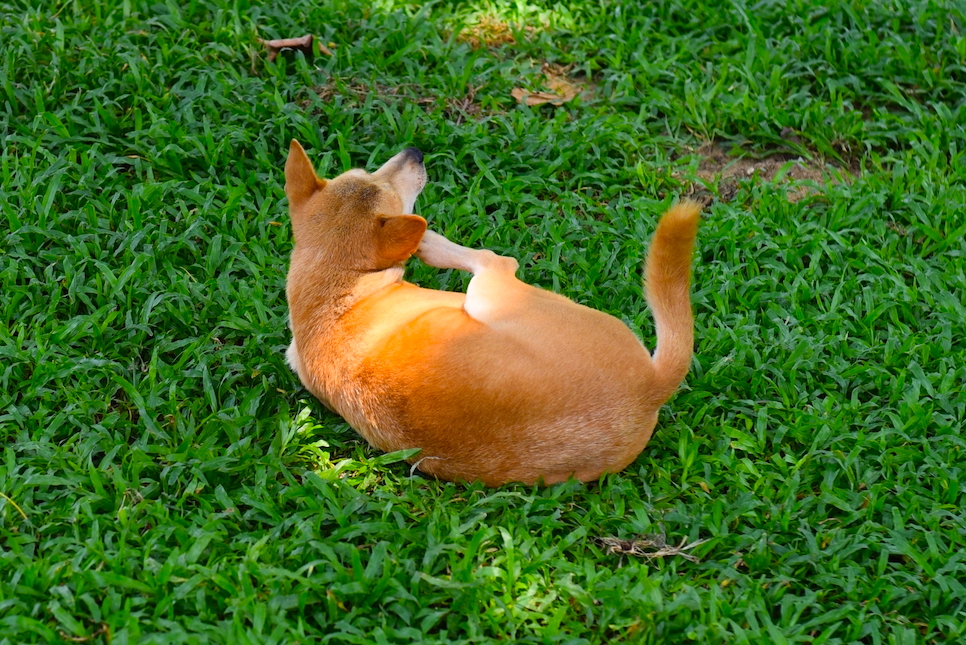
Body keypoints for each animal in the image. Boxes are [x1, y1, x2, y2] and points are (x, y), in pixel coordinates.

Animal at [284, 141, 700, 484]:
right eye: (396, 194)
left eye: (363, 171)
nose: (415, 151)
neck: (334, 286)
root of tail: (650, 387)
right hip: (491, 294)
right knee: (497, 260)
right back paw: (433, 243)